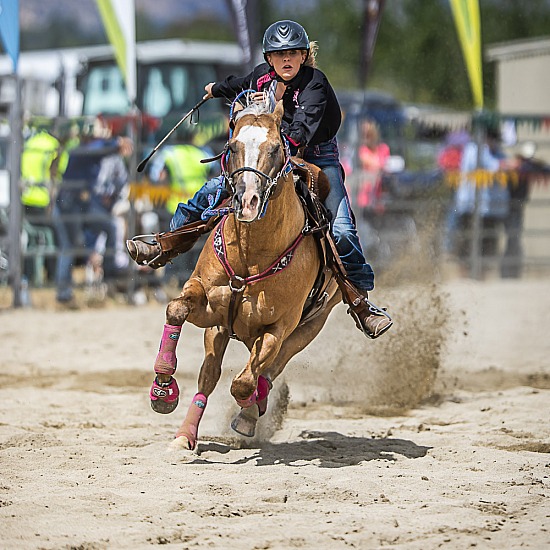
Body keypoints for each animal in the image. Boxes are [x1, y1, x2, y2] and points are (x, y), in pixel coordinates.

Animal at [150, 99, 340, 452]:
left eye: (276, 147)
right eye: (232, 147)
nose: (247, 201)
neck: (252, 255)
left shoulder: (278, 328)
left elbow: (243, 383)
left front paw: (250, 411)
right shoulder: (211, 309)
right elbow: (176, 308)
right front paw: (163, 388)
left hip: (309, 327)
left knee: (267, 371)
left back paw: (253, 412)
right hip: (224, 330)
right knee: (210, 376)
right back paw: (185, 435)